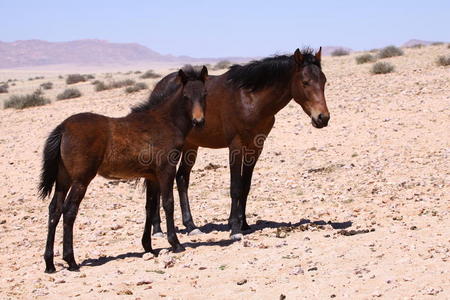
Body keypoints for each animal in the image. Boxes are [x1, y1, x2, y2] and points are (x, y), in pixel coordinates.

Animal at [39, 66, 209, 274]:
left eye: (204, 94)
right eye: (186, 96)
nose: (199, 121)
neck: (165, 121)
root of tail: (63, 127)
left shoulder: (151, 176)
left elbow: (150, 206)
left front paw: (148, 247)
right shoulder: (165, 170)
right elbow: (168, 203)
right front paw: (175, 243)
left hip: (63, 178)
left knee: (54, 210)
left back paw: (49, 264)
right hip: (81, 179)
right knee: (69, 211)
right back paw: (71, 261)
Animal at [148, 47, 330, 239]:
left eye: (324, 81)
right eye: (305, 82)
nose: (322, 118)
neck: (250, 99)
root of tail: (158, 88)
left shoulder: (255, 147)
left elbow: (245, 185)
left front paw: (244, 224)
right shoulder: (235, 145)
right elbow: (235, 186)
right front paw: (235, 228)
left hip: (191, 145)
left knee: (182, 178)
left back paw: (191, 226)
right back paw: (158, 230)